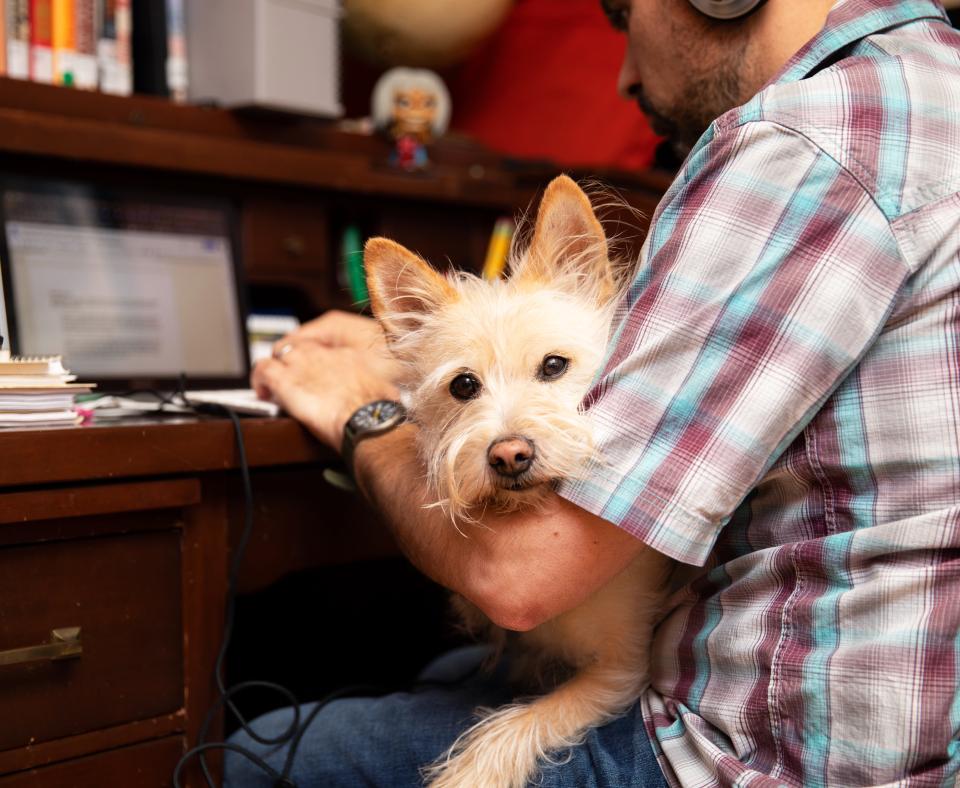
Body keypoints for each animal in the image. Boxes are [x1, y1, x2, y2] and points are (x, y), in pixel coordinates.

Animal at [364, 177, 672, 788]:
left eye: (554, 366)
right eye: (463, 386)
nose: (508, 455)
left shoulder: (621, 668)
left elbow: (517, 724)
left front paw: (468, 773)